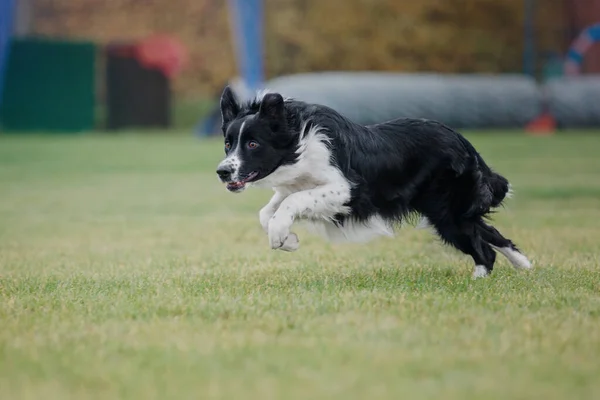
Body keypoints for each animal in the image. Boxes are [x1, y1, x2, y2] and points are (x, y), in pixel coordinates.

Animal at [214, 85, 528, 276]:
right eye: (228, 144)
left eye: (253, 144)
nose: (222, 172)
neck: (299, 143)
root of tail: (466, 145)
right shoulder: (298, 183)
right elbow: (267, 211)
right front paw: (288, 239)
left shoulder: (345, 190)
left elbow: (291, 201)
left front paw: (280, 236)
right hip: (449, 211)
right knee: (490, 233)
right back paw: (524, 265)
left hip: (447, 214)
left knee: (484, 250)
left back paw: (480, 280)